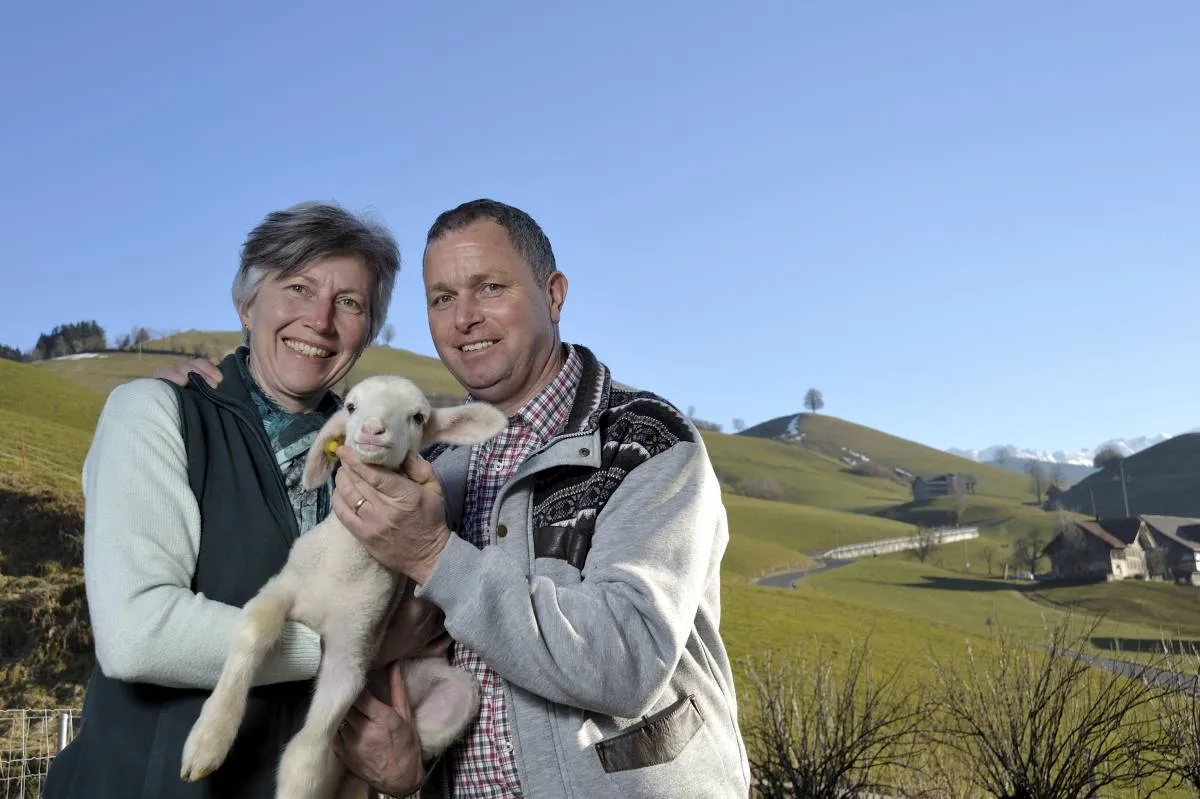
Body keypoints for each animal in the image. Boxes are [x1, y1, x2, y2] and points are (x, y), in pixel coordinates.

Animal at [177, 374, 506, 796]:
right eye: (351, 406)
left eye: (417, 417)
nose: (372, 429)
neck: (342, 568)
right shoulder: (284, 586)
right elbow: (254, 629)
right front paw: (209, 740)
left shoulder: (354, 649)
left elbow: (305, 755)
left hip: (448, 699)